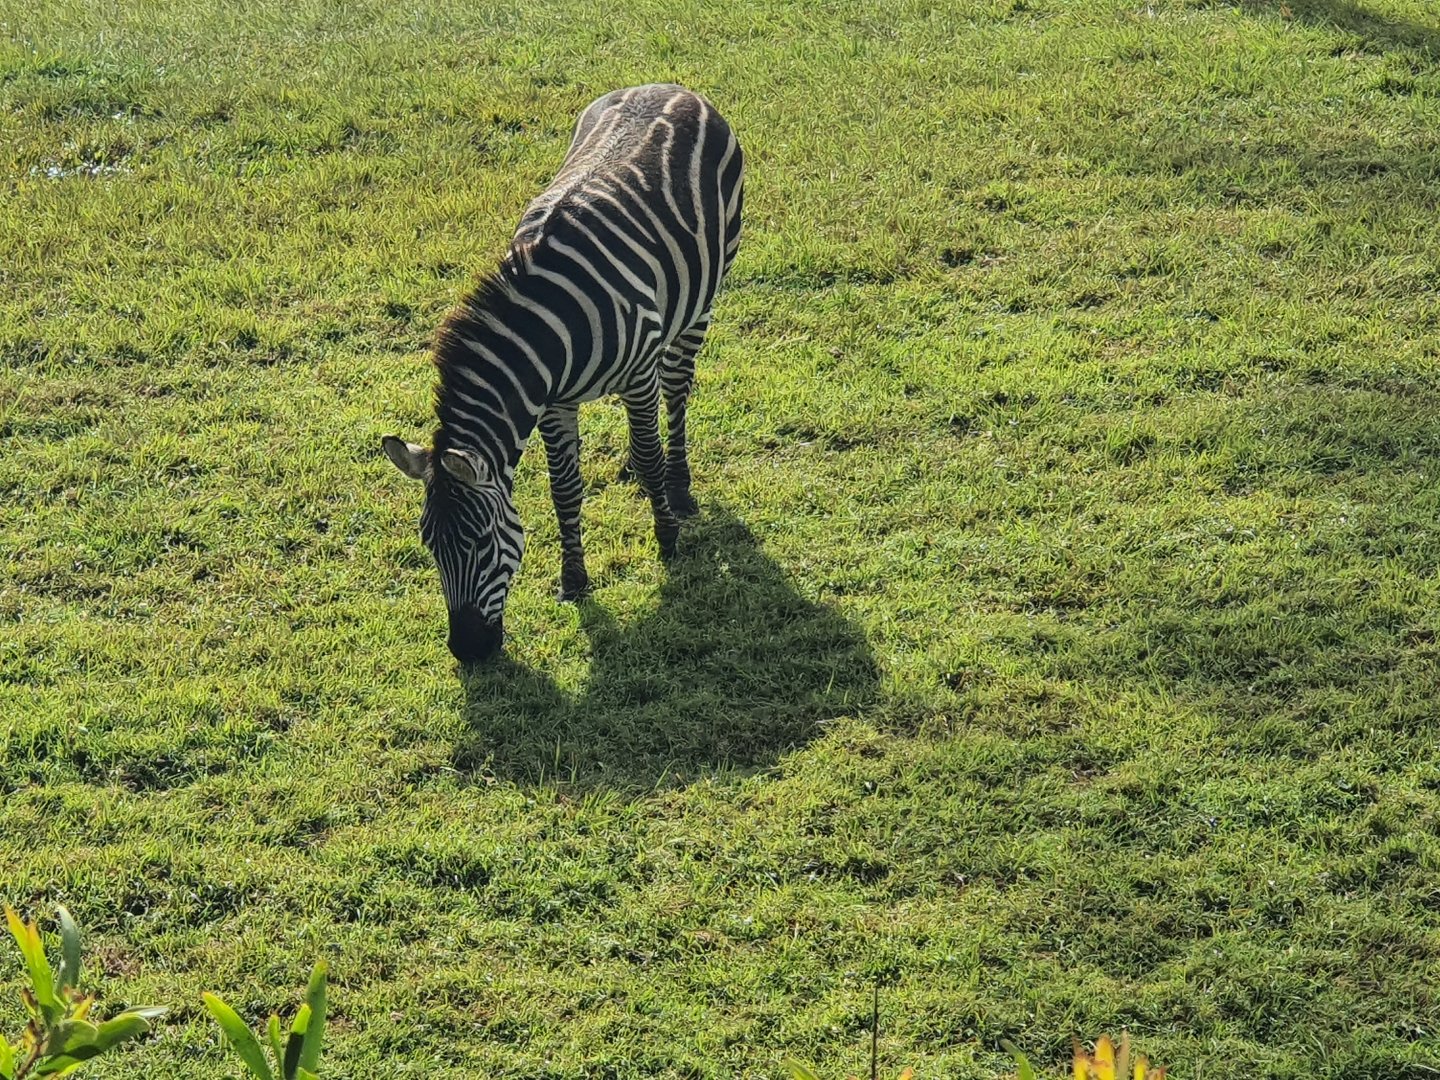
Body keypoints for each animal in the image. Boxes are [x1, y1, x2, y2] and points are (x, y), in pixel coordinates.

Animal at [382, 84, 744, 663]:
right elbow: (564, 489)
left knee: (676, 392)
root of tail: (669, 86)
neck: (548, 334)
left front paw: (667, 538)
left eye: (480, 543)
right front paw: (574, 579)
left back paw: (678, 486)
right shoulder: (555, 404)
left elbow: (649, 449)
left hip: (700, 303)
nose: (467, 651)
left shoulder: (636, 375)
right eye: (428, 545)